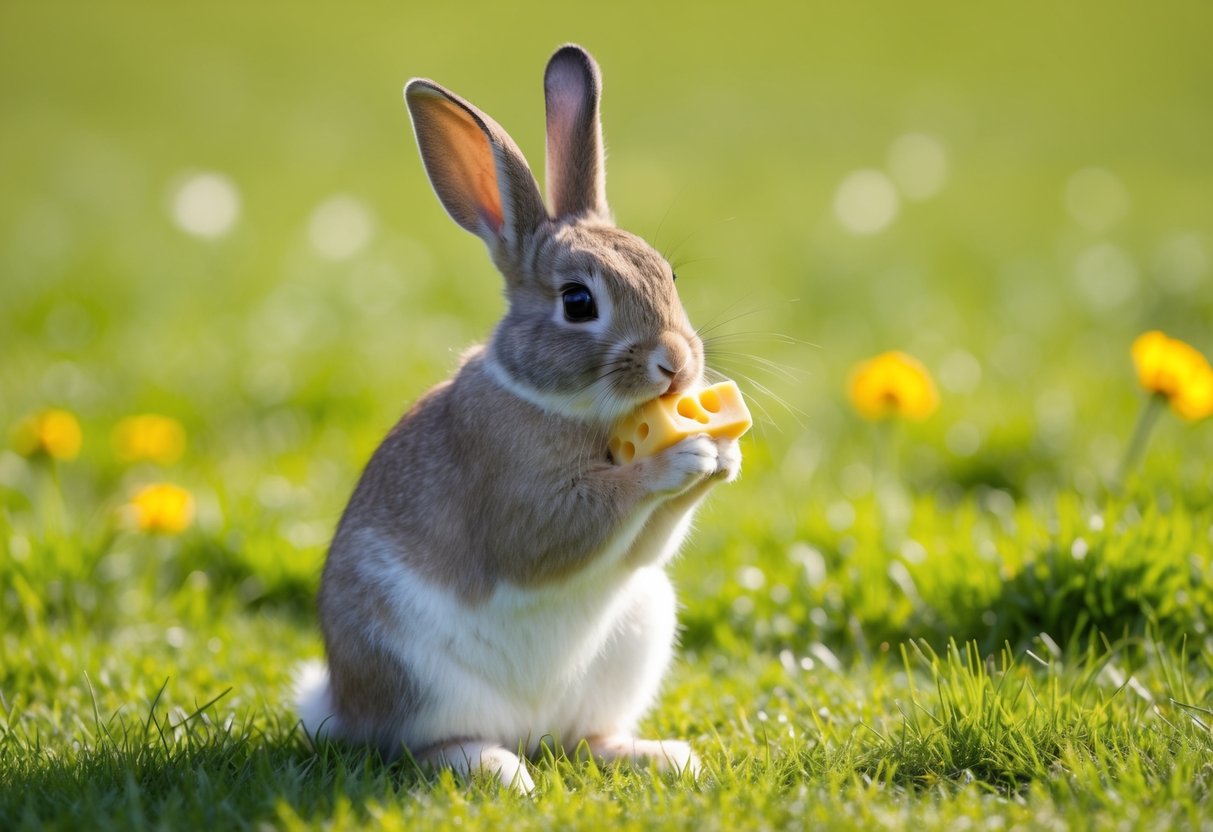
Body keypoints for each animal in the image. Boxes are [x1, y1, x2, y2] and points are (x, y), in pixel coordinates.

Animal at [294, 43, 742, 794]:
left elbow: (646, 546)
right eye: (578, 302)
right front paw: (678, 460)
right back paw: (497, 769)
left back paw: (658, 756)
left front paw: (722, 458)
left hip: (636, 634)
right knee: (423, 744)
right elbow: (561, 529)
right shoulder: (517, 497)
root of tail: (344, 704)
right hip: (414, 670)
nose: (676, 365)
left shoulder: (640, 556)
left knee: (583, 738)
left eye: (668, 276)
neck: (567, 404)